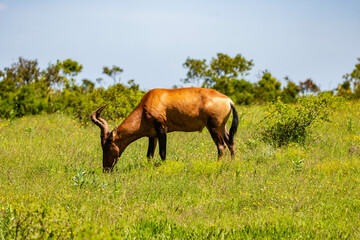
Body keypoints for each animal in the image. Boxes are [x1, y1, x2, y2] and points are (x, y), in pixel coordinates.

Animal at [91, 87, 239, 172]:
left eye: (106, 146)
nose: (106, 169)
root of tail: (228, 100)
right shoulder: (153, 135)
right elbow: (149, 154)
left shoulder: (161, 128)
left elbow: (162, 152)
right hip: (222, 126)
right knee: (230, 142)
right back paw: (232, 163)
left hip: (213, 127)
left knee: (221, 145)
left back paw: (218, 165)